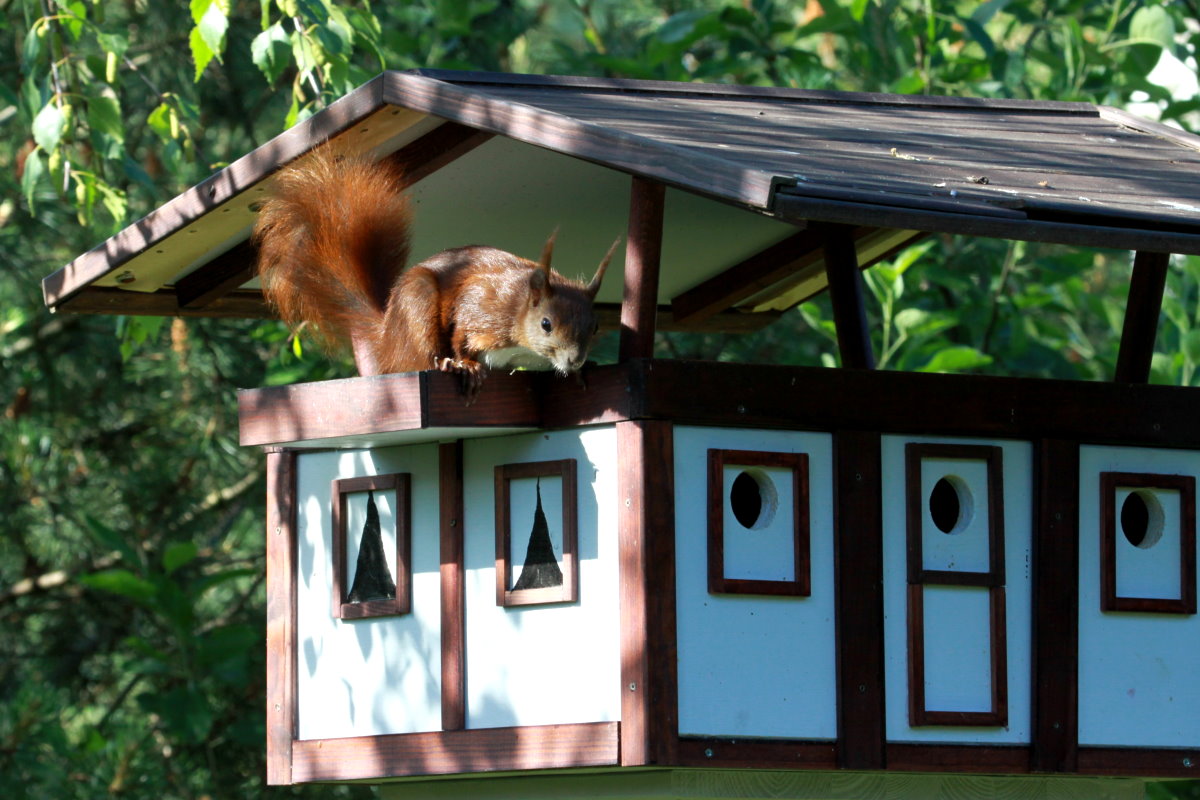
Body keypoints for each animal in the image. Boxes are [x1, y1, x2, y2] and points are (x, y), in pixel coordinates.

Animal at [248, 148, 614, 398]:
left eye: (595, 326)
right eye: (546, 324)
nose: (574, 360)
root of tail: (386, 338)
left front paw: (584, 372)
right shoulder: (480, 306)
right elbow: (461, 334)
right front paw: (466, 364)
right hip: (417, 304)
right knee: (418, 358)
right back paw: (446, 364)